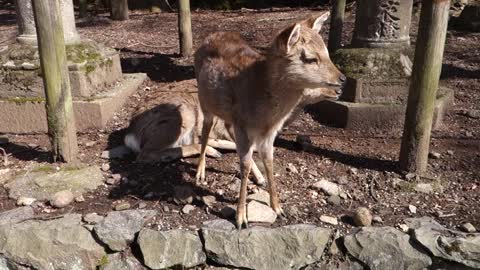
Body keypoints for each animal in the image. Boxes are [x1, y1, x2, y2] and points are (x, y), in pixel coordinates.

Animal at [193, 12, 344, 228]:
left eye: (327, 52)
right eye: (310, 58)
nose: (342, 80)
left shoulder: (268, 131)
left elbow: (269, 160)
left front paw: (278, 208)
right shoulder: (242, 124)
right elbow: (244, 164)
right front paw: (241, 218)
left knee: (226, 128)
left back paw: (258, 178)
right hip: (205, 102)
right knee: (205, 131)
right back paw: (200, 172)